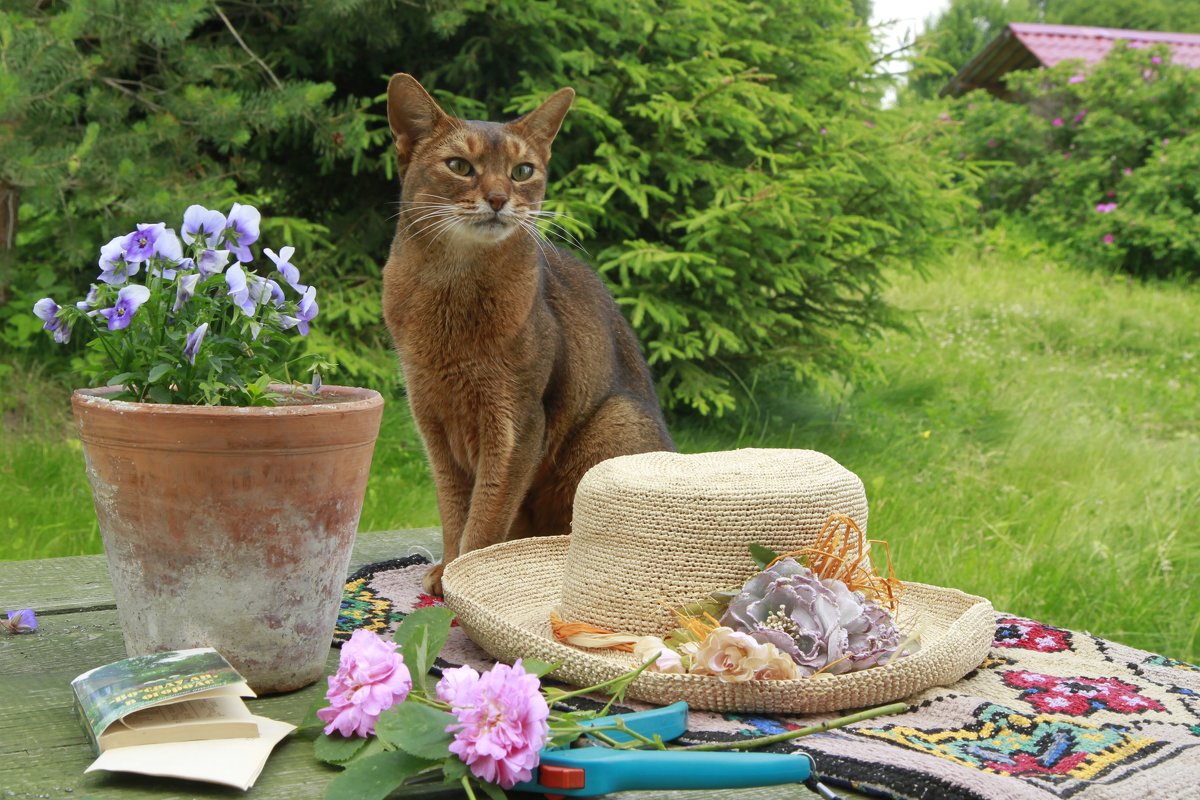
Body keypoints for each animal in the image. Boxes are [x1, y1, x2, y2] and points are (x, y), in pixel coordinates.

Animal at [381, 74, 676, 597]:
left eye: (522, 171)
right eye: (459, 166)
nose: (499, 199)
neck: (451, 290)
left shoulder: (518, 421)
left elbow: (485, 514)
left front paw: (464, 578)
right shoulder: (430, 414)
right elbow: (454, 508)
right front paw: (446, 567)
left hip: (616, 421)